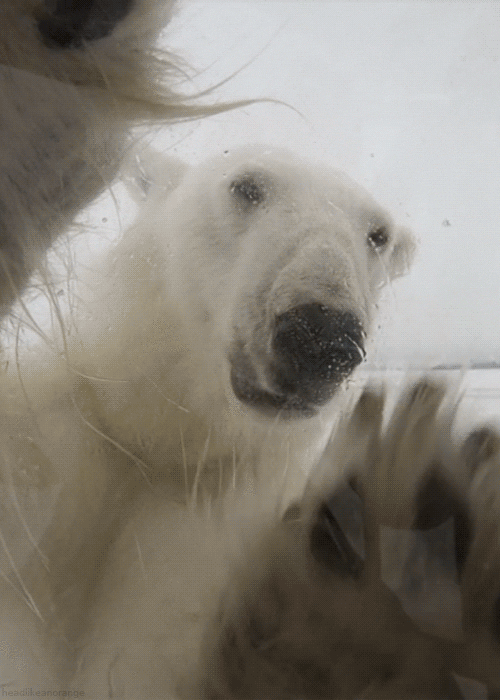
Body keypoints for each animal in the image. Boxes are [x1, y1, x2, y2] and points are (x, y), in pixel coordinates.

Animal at [0, 145, 415, 696]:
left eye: (378, 234)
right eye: (247, 186)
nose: (321, 337)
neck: (164, 439)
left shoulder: (218, 507)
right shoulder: (66, 444)